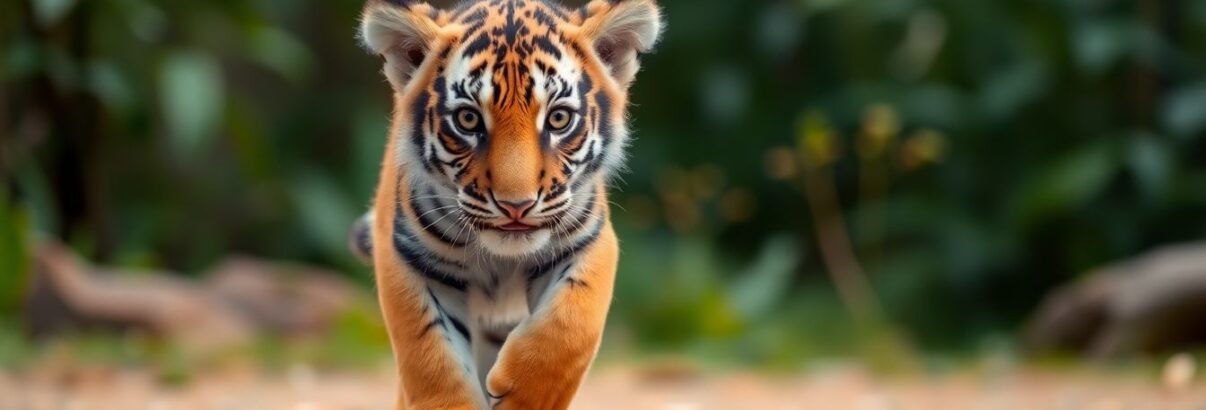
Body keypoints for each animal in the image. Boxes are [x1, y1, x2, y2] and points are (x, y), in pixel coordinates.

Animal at [352, 0, 662, 408]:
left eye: (558, 118)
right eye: (468, 119)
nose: (516, 205)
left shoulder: (589, 241)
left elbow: (570, 325)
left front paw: (522, 397)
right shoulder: (407, 255)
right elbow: (430, 357)